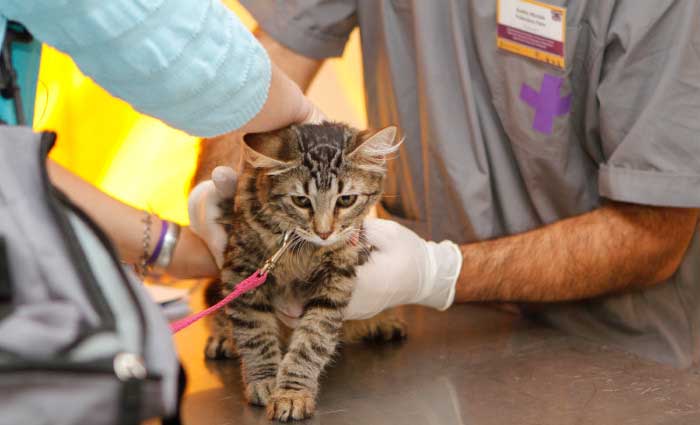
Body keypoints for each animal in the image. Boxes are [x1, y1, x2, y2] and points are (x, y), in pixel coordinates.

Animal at [204, 121, 404, 420]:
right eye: (301, 200)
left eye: (346, 200)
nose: (324, 232)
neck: (301, 249)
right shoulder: (242, 271)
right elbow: (255, 333)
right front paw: (265, 381)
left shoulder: (336, 281)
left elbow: (311, 341)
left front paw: (291, 393)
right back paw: (223, 338)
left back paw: (385, 322)